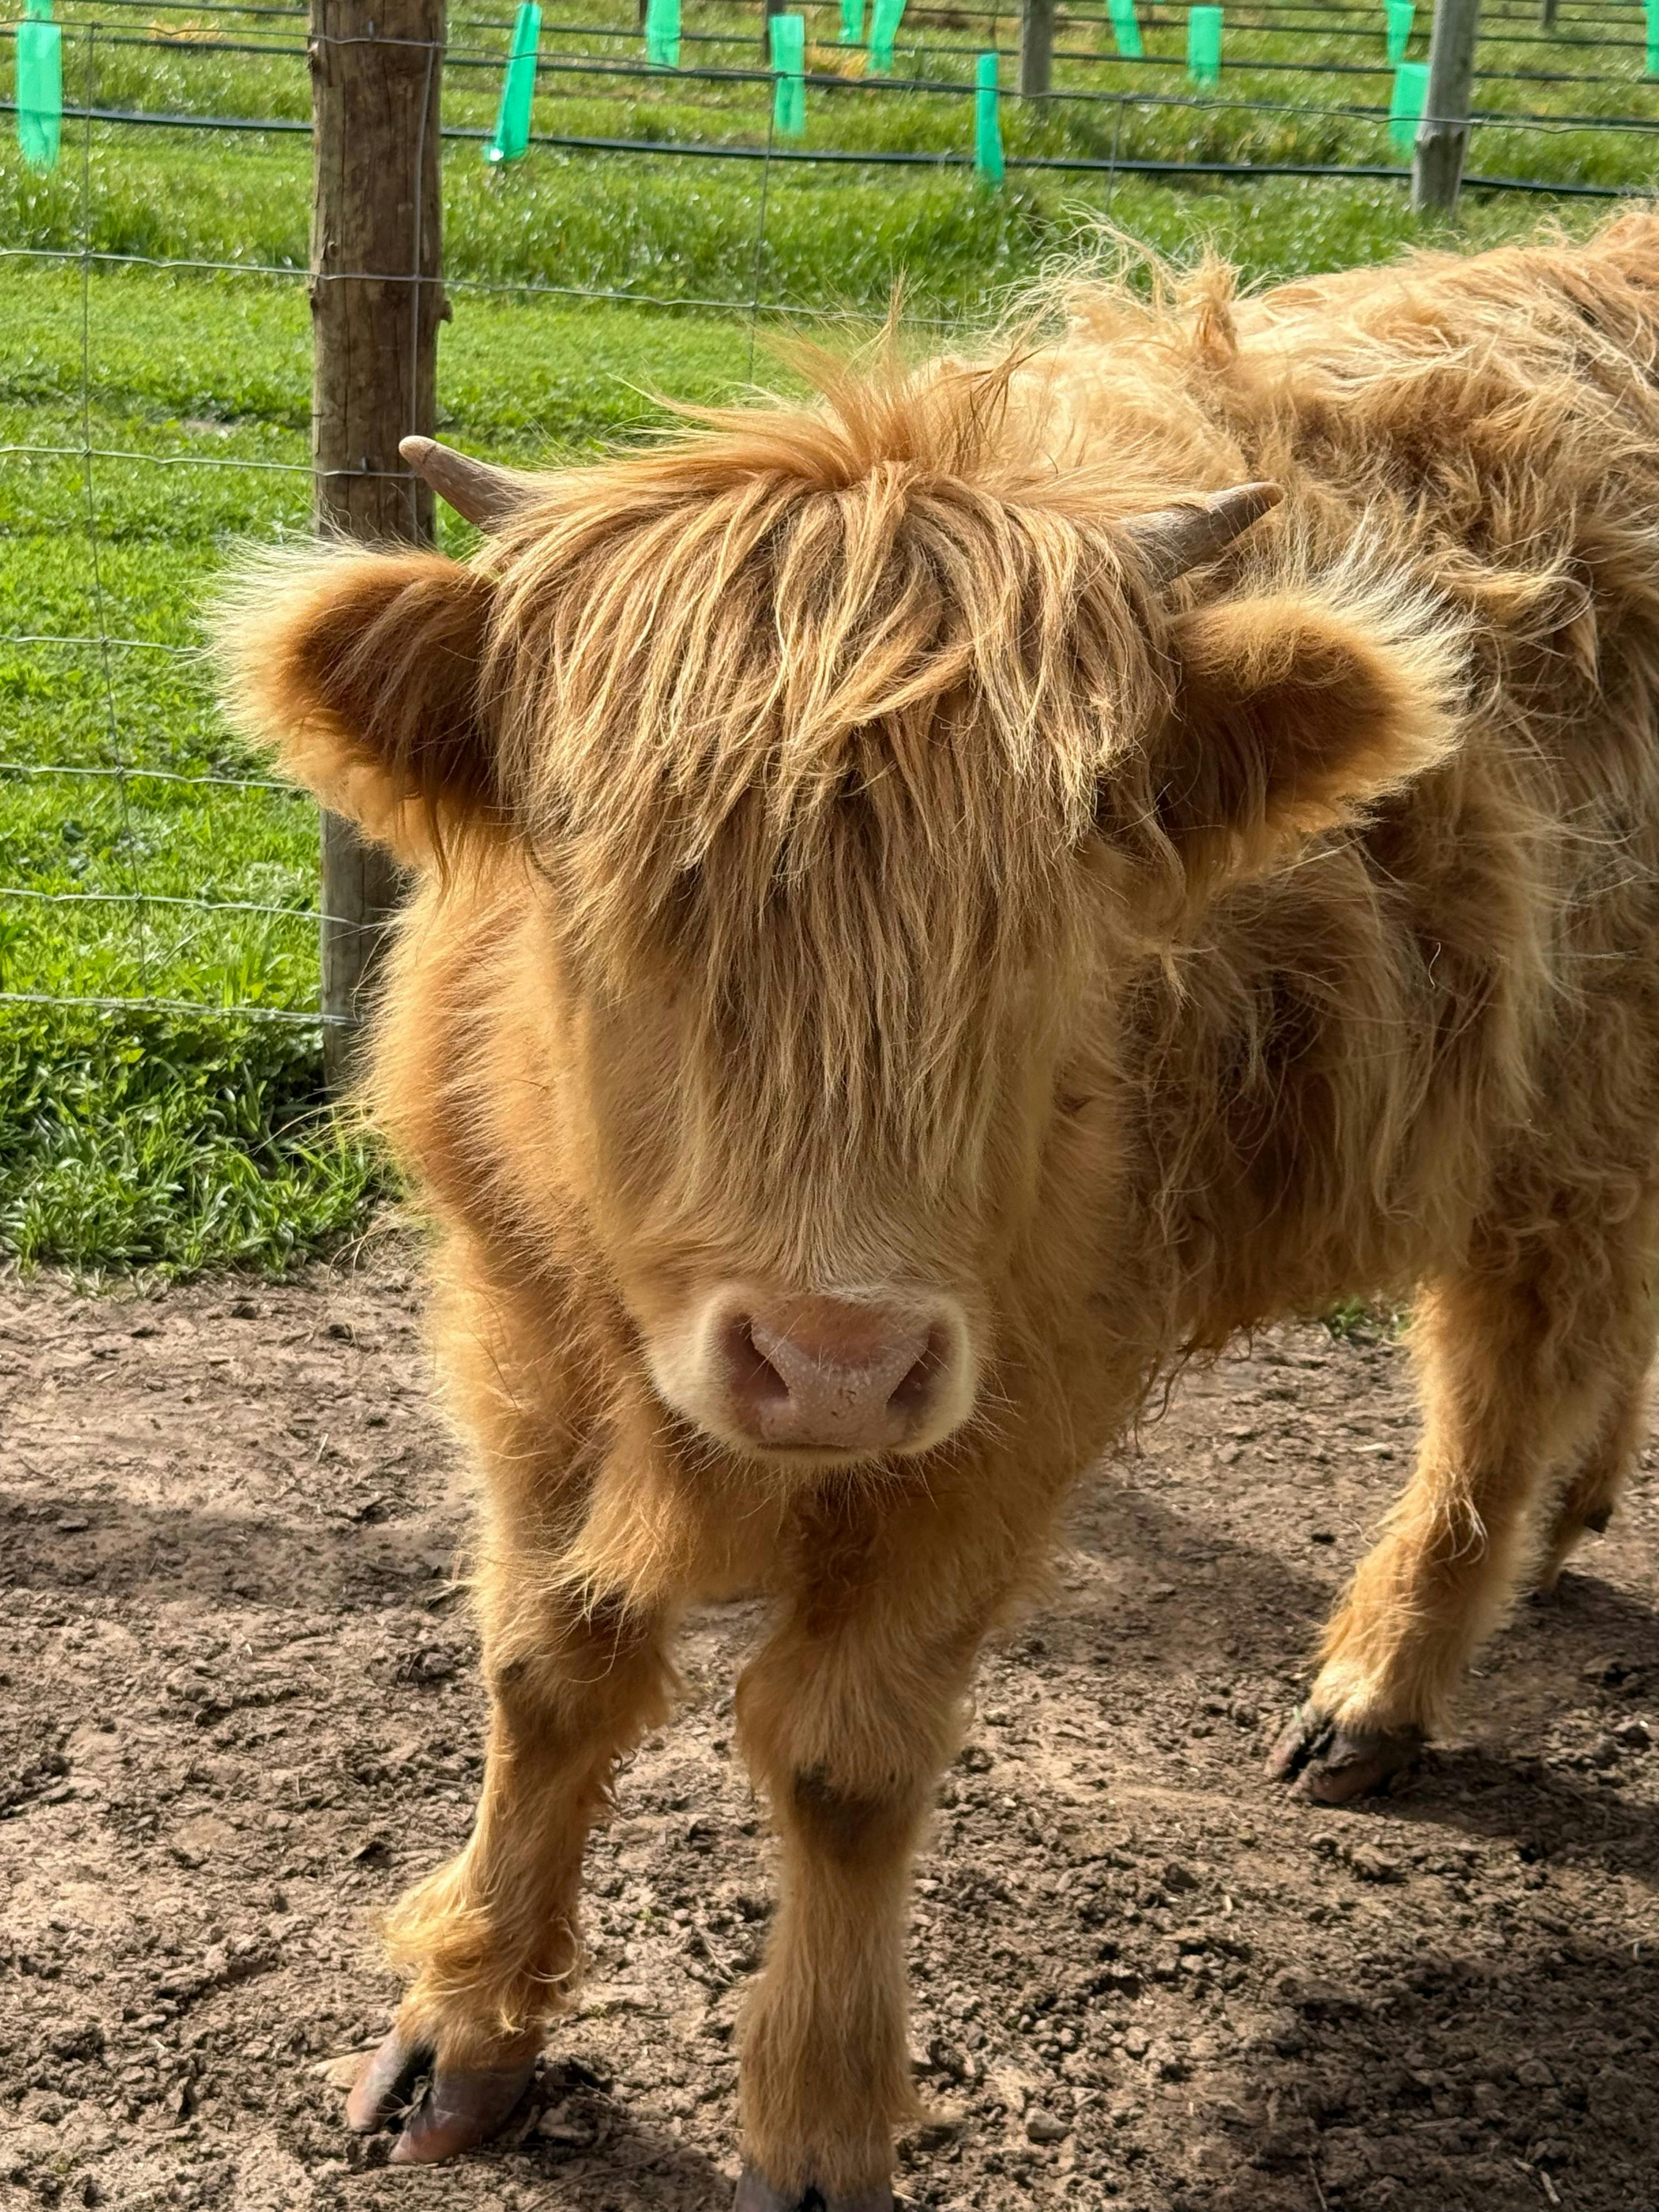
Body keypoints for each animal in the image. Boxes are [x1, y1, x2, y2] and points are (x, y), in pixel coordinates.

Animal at [218, 214, 1659, 2207]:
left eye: (1054, 905)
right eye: (625, 885)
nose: (828, 1360)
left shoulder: (1016, 1396)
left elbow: (842, 1759)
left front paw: (819, 2123)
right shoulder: (522, 1329)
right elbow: (545, 1673)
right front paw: (463, 2028)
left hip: (1556, 1112)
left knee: (1497, 1383)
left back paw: (1379, 1681)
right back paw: (1576, 1514)